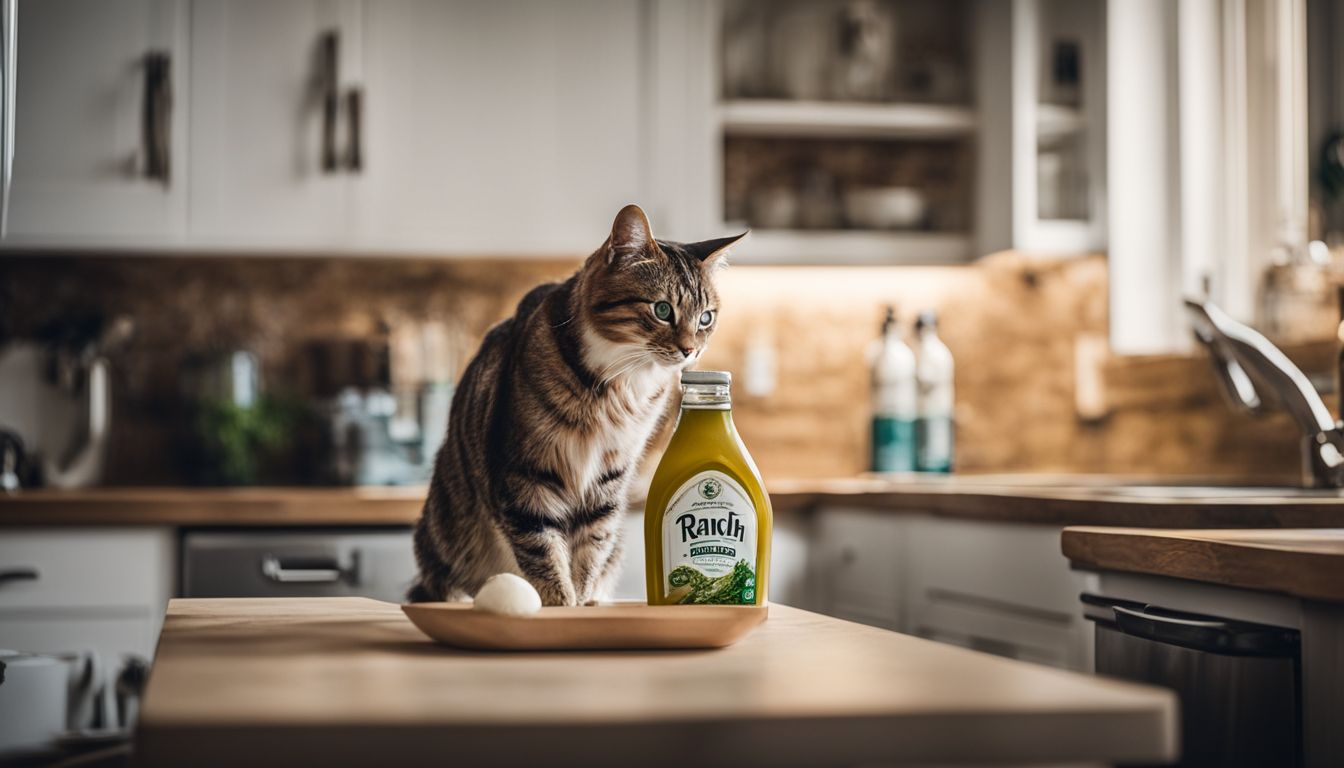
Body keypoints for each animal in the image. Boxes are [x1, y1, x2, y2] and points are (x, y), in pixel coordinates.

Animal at [408, 204, 747, 607]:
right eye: (663, 310)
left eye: (706, 317)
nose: (690, 350)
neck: (620, 387)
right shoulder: (525, 473)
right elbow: (542, 548)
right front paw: (561, 603)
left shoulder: (610, 475)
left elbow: (592, 546)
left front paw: (584, 602)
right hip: (449, 534)